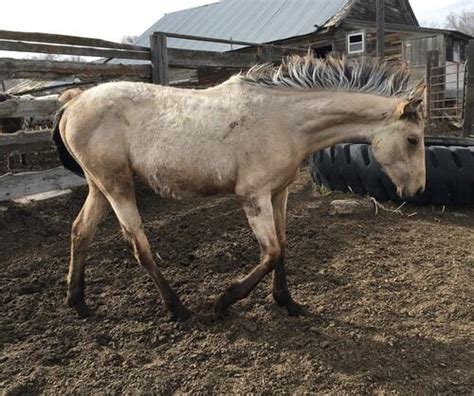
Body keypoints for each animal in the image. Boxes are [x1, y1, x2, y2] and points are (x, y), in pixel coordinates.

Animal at [54, 55, 426, 322]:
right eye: (413, 139)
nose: (418, 189)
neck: (285, 121)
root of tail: (74, 101)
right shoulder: (253, 196)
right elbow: (271, 252)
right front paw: (222, 303)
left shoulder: (278, 193)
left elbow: (283, 246)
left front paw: (288, 303)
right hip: (116, 186)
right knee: (138, 245)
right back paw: (179, 309)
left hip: (99, 187)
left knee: (80, 231)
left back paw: (78, 303)